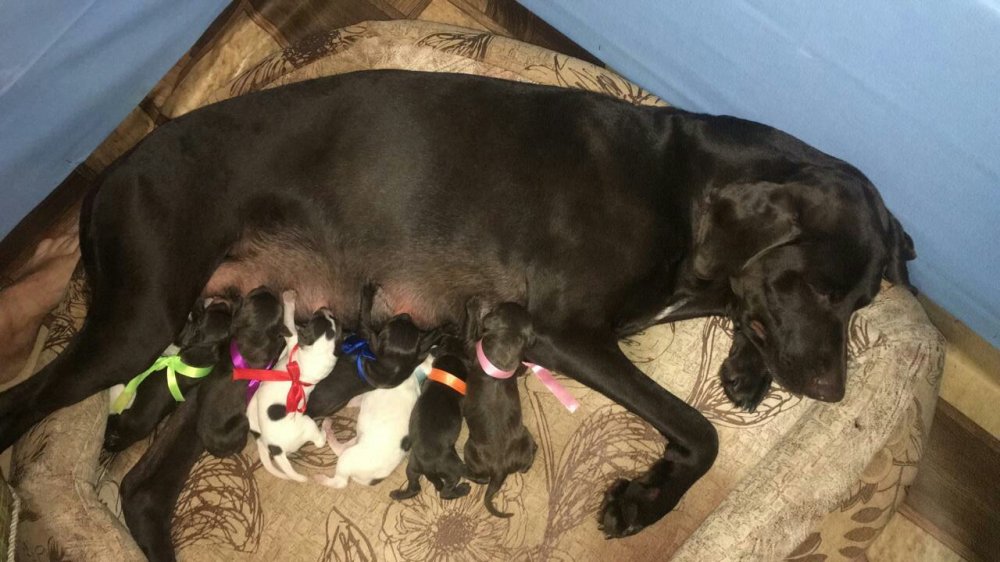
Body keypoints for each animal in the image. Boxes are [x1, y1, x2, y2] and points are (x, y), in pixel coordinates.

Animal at [246, 293, 338, 482]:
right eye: (322, 317)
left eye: (315, 317)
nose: (324, 307)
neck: (320, 349)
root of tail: (277, 449)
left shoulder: (292, 338)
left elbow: (288, 319)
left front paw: (289, 298)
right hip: (252, 408)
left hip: (307, 423)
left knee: (320, 441)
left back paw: (325, 427)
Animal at [463, 302, 537, 517]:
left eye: (498, 307)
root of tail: (499, 470)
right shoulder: (519, 364)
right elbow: (521, 368)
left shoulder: (471, 346)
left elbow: (469, 330)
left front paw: (473, 304)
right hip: (525, 437)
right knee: (524, 466)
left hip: (469, 449)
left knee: (481, 478)